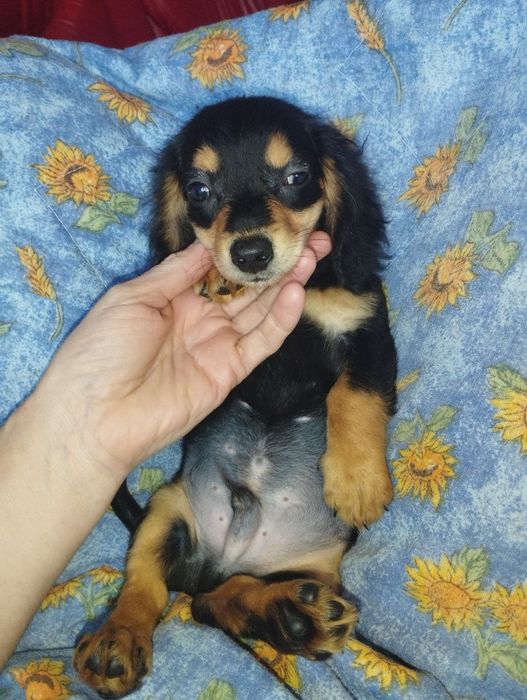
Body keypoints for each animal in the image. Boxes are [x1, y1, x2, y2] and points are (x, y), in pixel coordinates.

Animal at [73, 96, 397, 697]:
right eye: (199, 189)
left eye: (295, 177)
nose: (249, 254)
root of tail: (224, 559)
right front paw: (217, 282)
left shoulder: (367, 331)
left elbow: (354, 396)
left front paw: (357, 481)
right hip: (167, 513)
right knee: (153, 590)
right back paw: (117, 640)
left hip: (315, 566)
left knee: (213, 601)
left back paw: (291, 616)